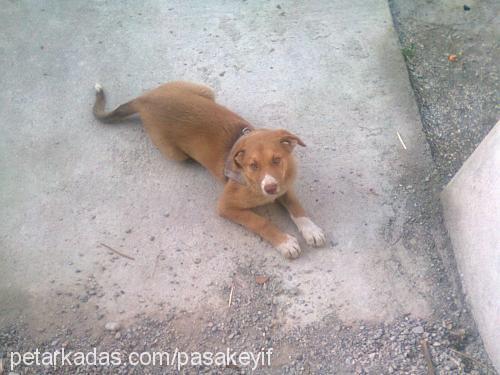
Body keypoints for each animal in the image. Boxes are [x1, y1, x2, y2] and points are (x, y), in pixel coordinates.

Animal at [93, 82, 328, 258]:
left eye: (277, 160)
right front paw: (284, 242)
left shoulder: (284, 185)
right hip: (175, 153)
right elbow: (259, 221)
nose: (270, 189)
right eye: (253, 166)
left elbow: (295, 206)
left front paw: (311, 230)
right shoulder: (226, 206)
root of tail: (143, 99)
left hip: (206, 90)